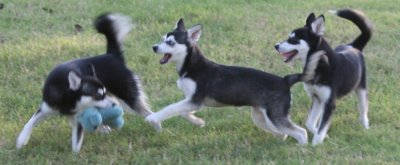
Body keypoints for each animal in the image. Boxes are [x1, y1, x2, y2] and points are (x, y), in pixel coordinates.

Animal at [16, 12, 153, 152]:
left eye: (103, 93)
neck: (68, 97)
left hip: (128, 97)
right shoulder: (46, 108)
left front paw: (74, 155)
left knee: (148, 113)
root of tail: (112, 55)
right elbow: (30, 122)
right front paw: (21, 140)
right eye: (98, 95)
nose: (115, 105)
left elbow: (76, 144)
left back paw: (155, 124)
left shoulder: (79, 120)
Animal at [148, 18, 308, 144]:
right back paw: (281, 138)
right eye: (162, 39)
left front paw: (153, 117)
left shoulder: (195, 100)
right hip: (260, 117)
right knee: (285, 132)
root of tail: (284, 80)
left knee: (301, 132)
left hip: (274, 115)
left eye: (170, 43)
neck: (191, 65)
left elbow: (170, 108)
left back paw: (303, 147)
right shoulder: (193, 101)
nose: (154, 47)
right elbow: (182, 113)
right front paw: (198, 122)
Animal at [276, 8, 372, 144]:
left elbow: (322, 126)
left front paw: (315, 144)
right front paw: (322, 135)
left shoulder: (329, 103)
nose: (276, 46)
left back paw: (365, 125)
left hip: (361, 88)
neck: (319, 65)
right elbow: (310, 123)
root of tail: (353, 46)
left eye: (293, 39)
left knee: (363, 108)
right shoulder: (317, 98)